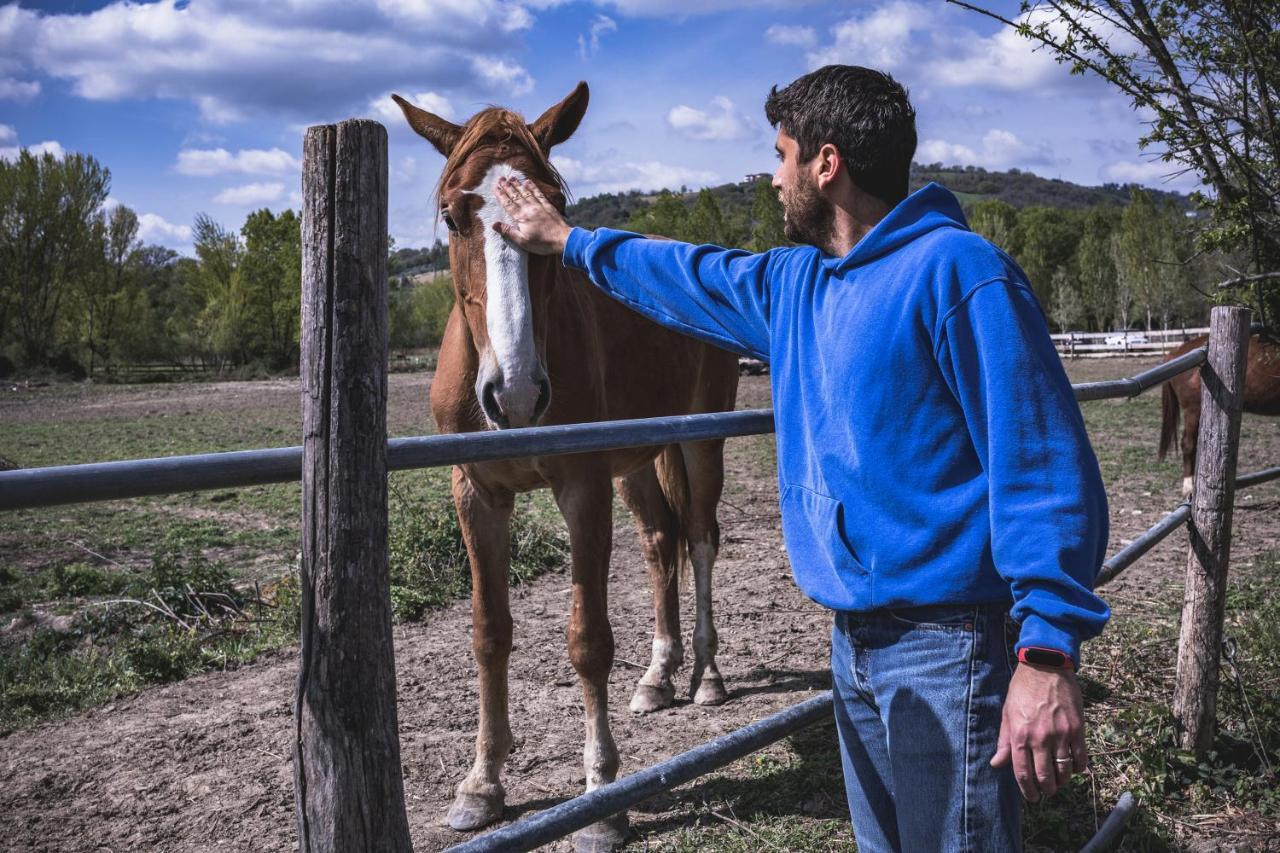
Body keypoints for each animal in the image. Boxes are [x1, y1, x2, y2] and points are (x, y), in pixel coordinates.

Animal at [396, 81, 742, 850]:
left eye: (554, 207)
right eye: (453, 215)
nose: (517, 393)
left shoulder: (583, 487)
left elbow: (587, 640)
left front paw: (602, 797)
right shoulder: (476, 494)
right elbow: (489, 633)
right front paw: (481, 784)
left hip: (700, 442)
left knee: (701, 539)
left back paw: (706, 675)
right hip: (639, 461)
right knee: (660, 542)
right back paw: (658, 676)